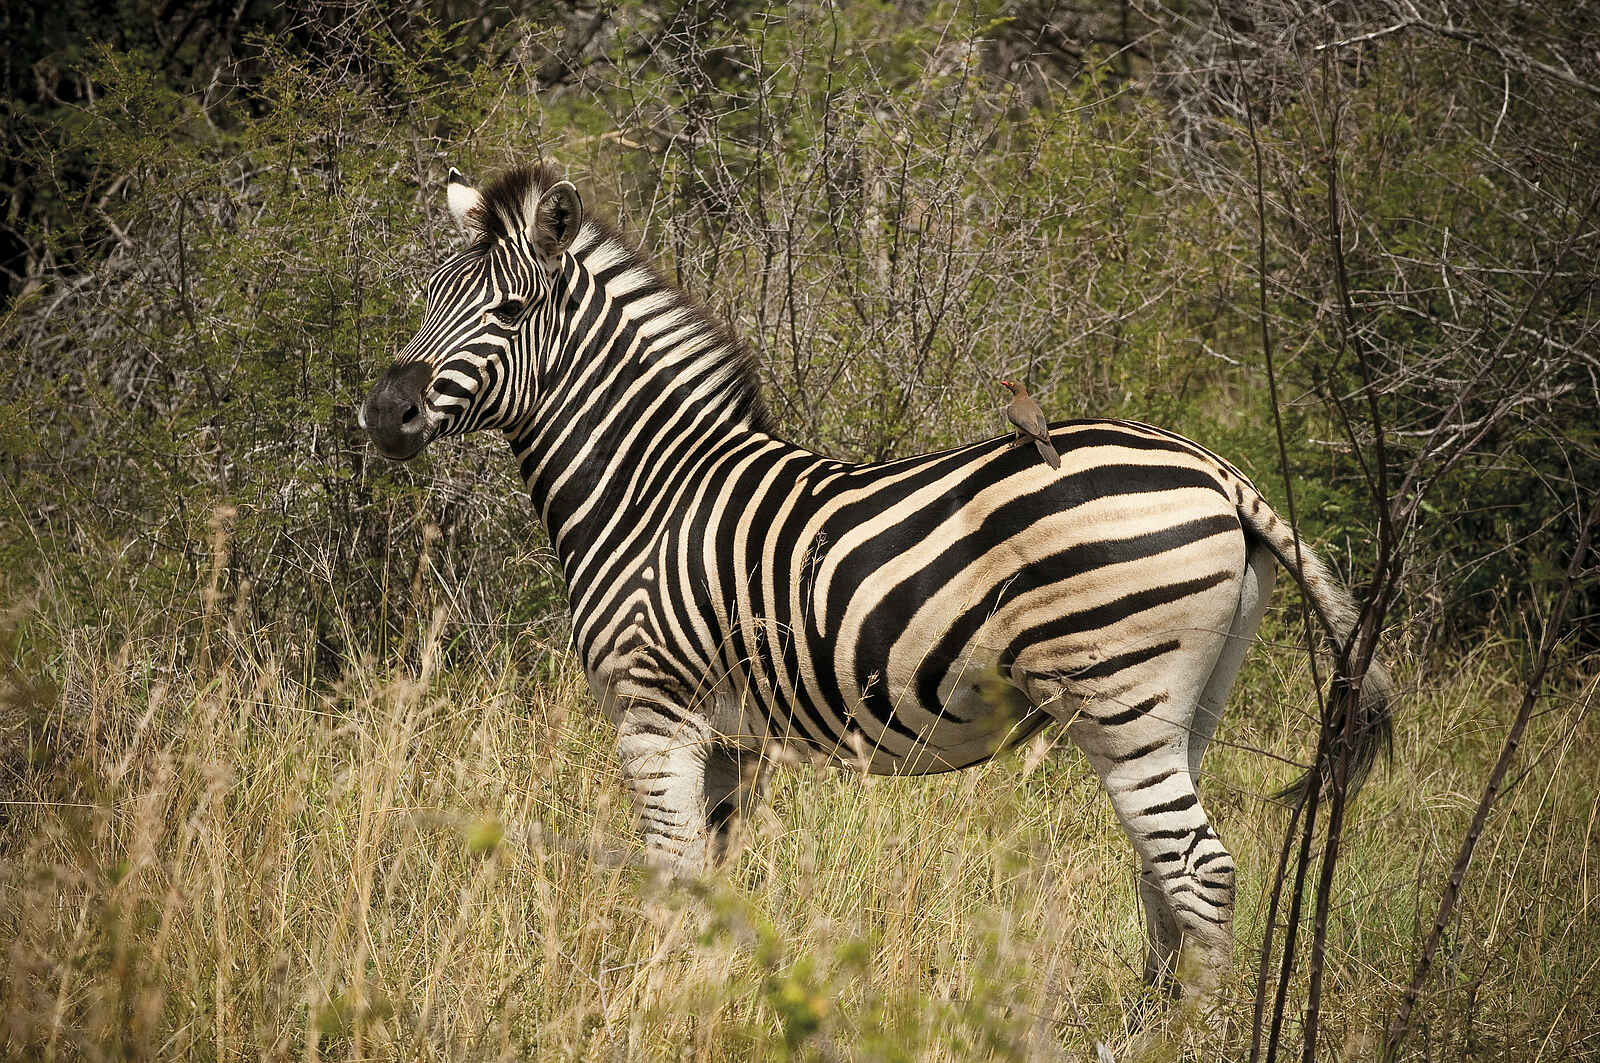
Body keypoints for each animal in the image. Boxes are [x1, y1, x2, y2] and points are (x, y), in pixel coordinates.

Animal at [358, 162, 1393, 1020]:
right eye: (428, 300)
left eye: (508, 309)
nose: (383, 412)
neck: (651, 487)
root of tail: (1219, 471)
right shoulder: (731, 737)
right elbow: (715, 882)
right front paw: (710, 997)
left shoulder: (653, 713)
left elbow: (671, 876)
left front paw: (654, 1004)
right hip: (1184, 702)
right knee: (1163, 866)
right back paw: (1148, 1019)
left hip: (1119, 689)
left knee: (1200, 870)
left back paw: (1194, 1031)